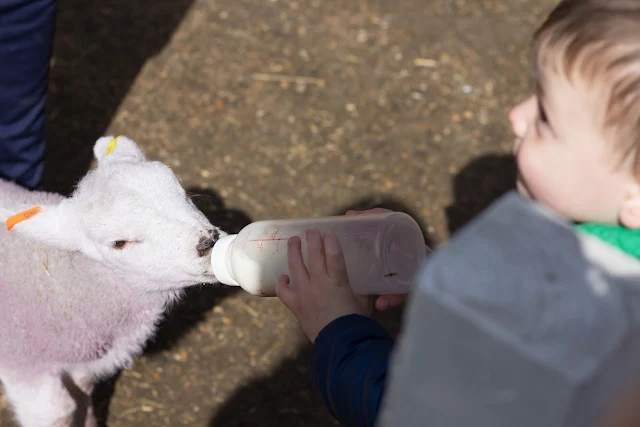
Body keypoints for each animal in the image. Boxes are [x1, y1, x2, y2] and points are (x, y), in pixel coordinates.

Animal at [0, 138, 225, 427]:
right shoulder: (23, 363)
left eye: (183, 193)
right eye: (119, 243)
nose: (208, 242)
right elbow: (58, 411)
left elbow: (82, 392)